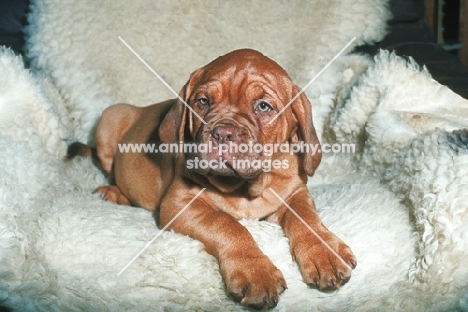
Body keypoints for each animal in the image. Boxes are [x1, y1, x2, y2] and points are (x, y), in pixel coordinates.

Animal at [67, 49, 356, 310]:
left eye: (263, 106)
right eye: (203, 102)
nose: (223, 133)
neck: (243, 188)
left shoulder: (295, 193)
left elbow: (305, 217)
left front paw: (323, 251)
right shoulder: (179, 203)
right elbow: (227, 224)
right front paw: (255, 270)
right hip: (111, 117)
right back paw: (114, 192)